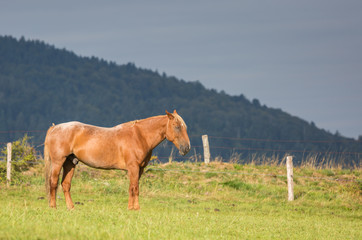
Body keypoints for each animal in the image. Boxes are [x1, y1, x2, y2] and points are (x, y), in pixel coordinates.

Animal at [44, 110, 191, 210]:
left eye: (184, 127)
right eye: (177, 126)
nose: (186, 148)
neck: (139, 136)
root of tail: (55, 127)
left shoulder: (139, 169)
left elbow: (133, 187)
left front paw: (131, 208)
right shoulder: (133, 167)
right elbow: (135, 188)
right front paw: (135, 208)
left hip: (70, 163)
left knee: (65, 185)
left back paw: (71, 207)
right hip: (58, 162)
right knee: (53, 182)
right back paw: (53, 206)